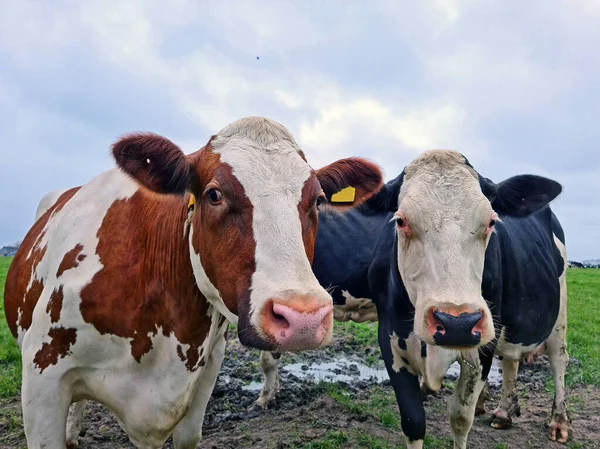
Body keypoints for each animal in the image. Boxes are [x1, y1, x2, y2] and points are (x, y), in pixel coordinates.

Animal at [256, 150, 568, 448]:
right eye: (401, 220)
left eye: (491, 222)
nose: (456, 323)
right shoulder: (391, 339)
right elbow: (413, 421)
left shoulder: (482, 346)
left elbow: (460, 418)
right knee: (512, 359)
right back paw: (503, 412)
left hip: (558, 309)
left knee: (558, 359)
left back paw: (558, 421)